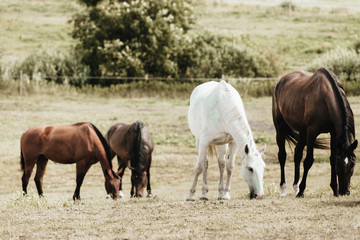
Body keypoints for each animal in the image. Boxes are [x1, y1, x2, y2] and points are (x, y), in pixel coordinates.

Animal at [272, 67, 358, 197]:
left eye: (353, 164)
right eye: (339, 166)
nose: (345, 192)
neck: (325, 98)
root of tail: (281, 81)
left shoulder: (333, 133)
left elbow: (331, 158)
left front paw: (334, 190)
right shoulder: (312, 132)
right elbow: (308, 161)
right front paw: (302, 191)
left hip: (303, 132)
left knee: (297, 154)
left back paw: (295, 187)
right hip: (280, 128)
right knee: (282, 156)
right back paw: (284, 189)